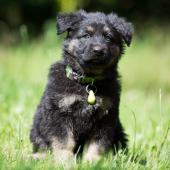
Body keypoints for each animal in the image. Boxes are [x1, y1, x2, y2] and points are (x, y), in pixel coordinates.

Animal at [29, 9, 134, 163]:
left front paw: (92, 162)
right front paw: (64, 161)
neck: (89, 82)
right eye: (86, 35)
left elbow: (97, 143)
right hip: (37, 127)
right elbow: (63, 141)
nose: (98, 50)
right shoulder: (59, 114)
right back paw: (37, 157)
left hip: (119, 131)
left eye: (108, 38)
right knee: (42, 145)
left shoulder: (105, 118)